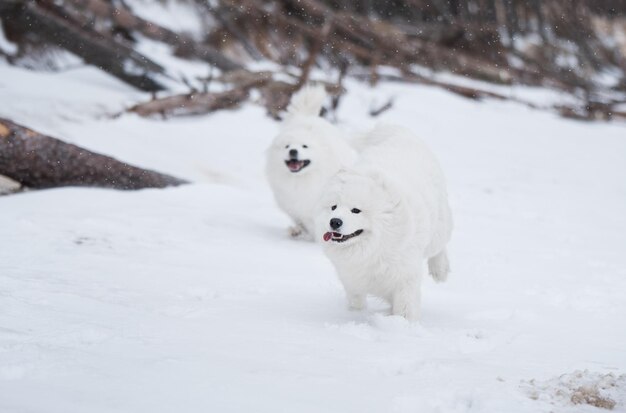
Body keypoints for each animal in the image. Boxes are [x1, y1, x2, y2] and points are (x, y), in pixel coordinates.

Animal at [266, 85, 356, 240]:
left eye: (304, 146)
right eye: (287, 146)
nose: (293, 151)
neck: (301, 181)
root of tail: (306, 118)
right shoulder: (294, 206)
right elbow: (302, 221)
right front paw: (297, 231)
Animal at [314, 124, 450, 320]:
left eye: (356, 210)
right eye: (333, 207)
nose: (335, 222)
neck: (373, 247)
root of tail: (401, 134)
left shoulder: (405, 276)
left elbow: (405, 307)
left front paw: (403, 323)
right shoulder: (351, 278)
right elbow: (356, 300)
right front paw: (355, 315)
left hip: (437, 229)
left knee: (440, 246)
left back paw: (440, 270)